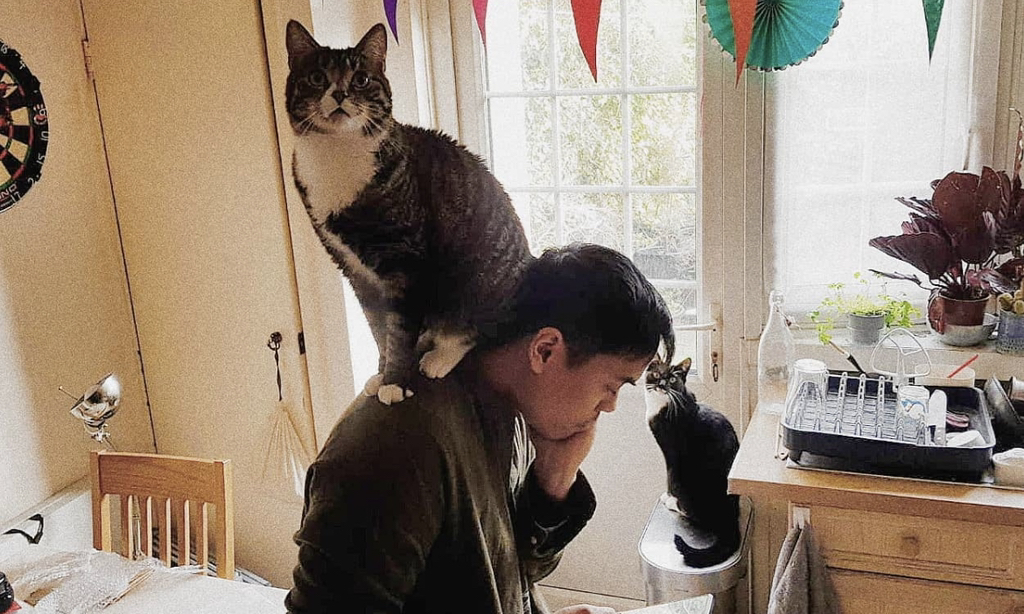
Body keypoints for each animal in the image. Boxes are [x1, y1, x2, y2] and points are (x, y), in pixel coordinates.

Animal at [284, 21, 532, 404]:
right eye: (316, 77)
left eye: (361, 79)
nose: (340, 93)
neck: (337, 153)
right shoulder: (355, 271)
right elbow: (378, 327)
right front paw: (381, 373)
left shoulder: (404, 264)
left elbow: (398, 330)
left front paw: (395, 382)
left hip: (474, 282)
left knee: (473, 328)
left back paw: (440, 357)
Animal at [645, 357, 741, 568]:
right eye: (656, 374)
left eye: (672, 379)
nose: (662, 384)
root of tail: (728, 518)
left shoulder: (669, 453)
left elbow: (668, 475)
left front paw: (667, 496)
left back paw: (671, 502)